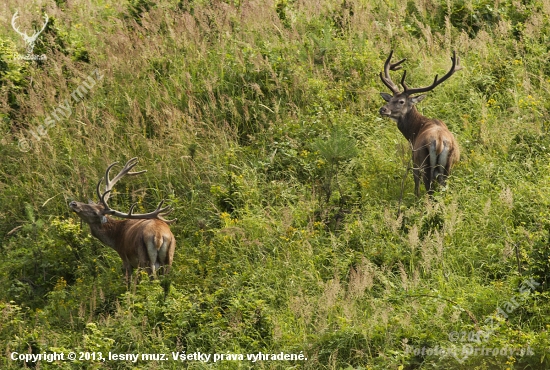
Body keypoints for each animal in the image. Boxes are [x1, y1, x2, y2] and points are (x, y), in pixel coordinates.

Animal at [380, 51, 462, 198]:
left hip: (424, 163)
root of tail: (439, 141)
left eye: (401, 101)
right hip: (448, 167)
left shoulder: (414, 161)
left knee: (428, 190)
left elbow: (416, 185)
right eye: (390, 99)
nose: (383, 109)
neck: (415, 131)